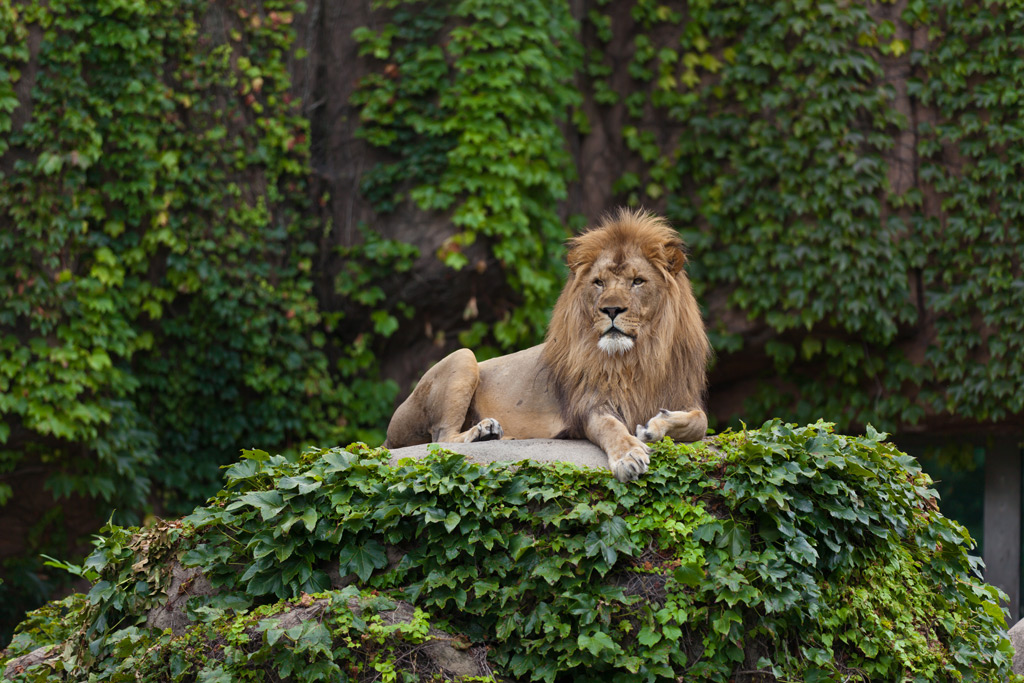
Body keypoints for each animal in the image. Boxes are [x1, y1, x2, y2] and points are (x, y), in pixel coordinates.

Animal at [385, 208, 712, 481]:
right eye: (599, 282)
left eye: (638, 281)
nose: (611, 310)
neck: (636, 357)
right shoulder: (589, 406)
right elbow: (612, 428)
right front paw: (628, 456)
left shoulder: (682, 394)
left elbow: (701, 420)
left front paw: (655, 427)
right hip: (463, 357)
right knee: (441, 439)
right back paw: (484, 432)